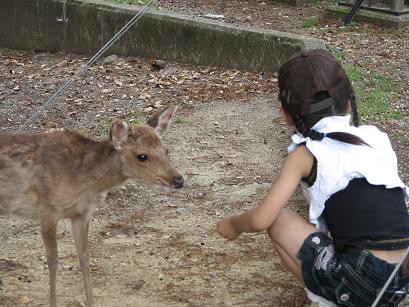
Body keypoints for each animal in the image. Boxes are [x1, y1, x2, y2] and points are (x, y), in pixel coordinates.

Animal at [0, 105, 183, 306]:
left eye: (166, 150)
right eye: (142, 156)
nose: (178, 180)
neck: (83, 180)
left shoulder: (82, 213)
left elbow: (84, 256)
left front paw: (90, 302)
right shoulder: (47, 208)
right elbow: (53, 260)